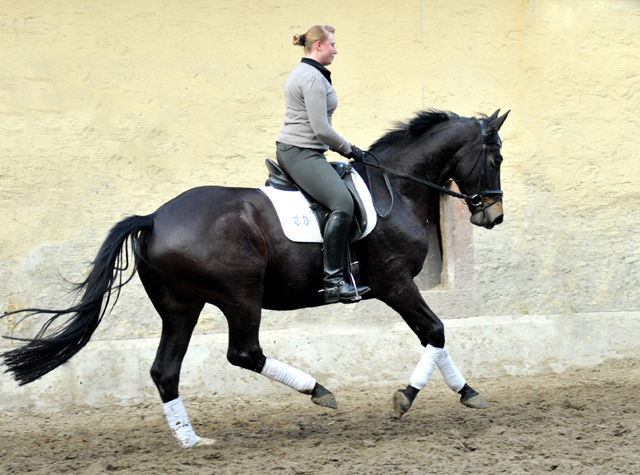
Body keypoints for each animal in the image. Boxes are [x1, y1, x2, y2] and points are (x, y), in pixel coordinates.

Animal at [1, 109, 510, 448]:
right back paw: (318, 391)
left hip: (181, 307)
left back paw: (192, 441)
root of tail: (154, 218)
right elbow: (435, 330)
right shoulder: (394, 283)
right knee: (244, 353)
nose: (494, 216)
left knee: (166, 370)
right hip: (239, 295)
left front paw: (466, 392)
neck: (396, 188)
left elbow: (433, 336)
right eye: (496, 157)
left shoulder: (397, 287)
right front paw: (410, 397)